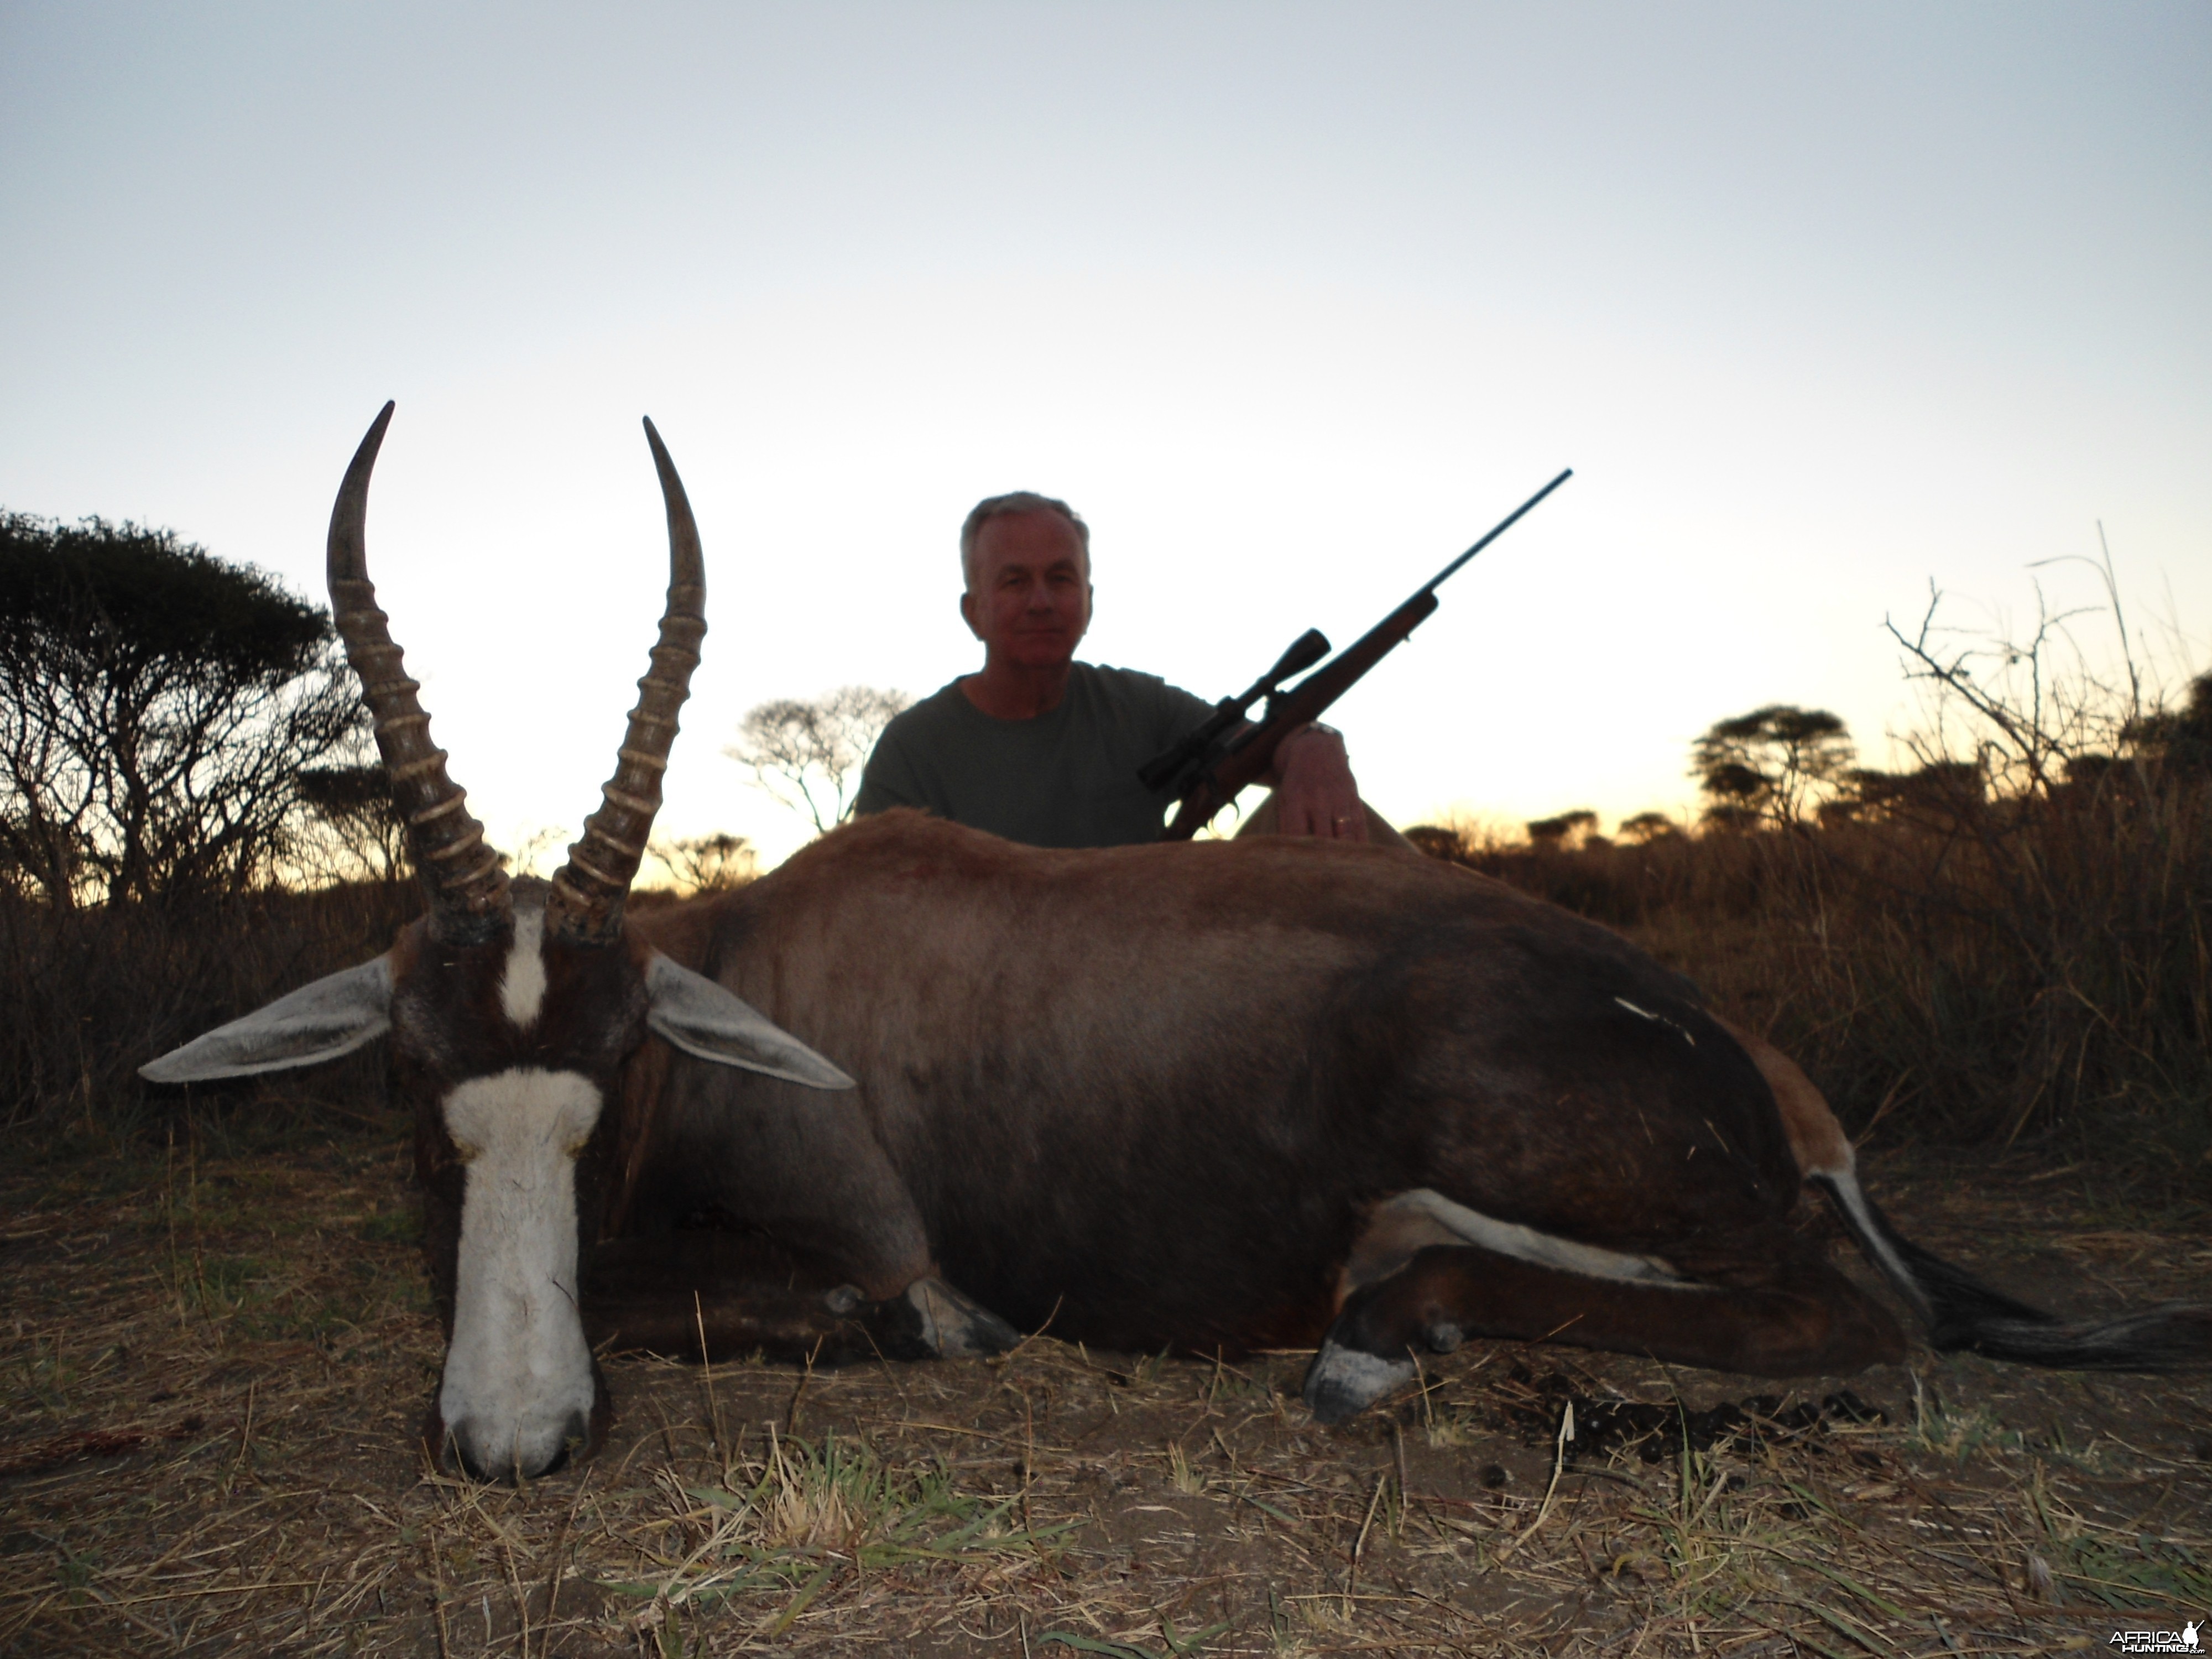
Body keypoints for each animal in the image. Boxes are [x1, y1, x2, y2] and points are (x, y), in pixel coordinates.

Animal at [147, 409, 2203, 1486]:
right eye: (416, 1079)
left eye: (621, 1058)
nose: (515, 1438)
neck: (776, 954)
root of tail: (1745, 1064)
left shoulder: (883, 1258)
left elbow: (865, 1312)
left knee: (1862, 1315)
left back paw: (1377, 1341)